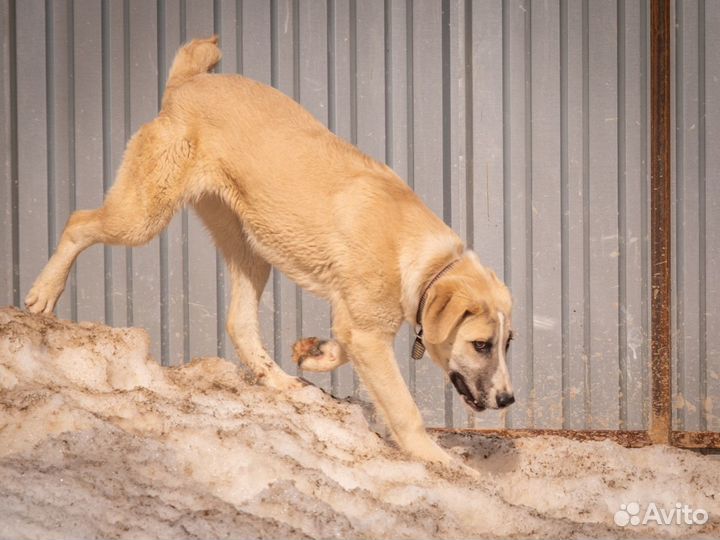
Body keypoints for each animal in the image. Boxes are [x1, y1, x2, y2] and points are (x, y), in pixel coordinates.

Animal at [26, 37, 512, 464]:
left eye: (507, 343)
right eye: (481, 345)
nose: (508, 399)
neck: (426, 262)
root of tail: (186, 82)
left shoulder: (355, 323)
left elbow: (340, 344)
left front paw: (314, 353)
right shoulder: (369, 335)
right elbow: (404, 408)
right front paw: (442, 463)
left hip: (250, 248)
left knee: (239, 323)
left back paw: (281, 382)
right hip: (143, 215)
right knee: (78, 223)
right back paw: (43, 294)